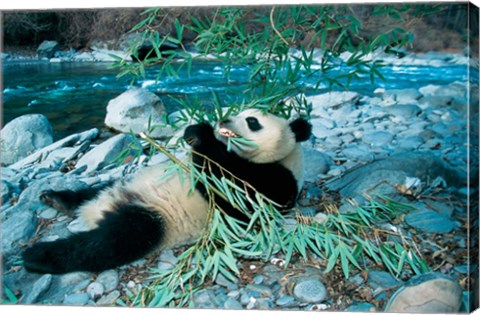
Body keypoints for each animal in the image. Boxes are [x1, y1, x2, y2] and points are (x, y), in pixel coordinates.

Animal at [22, 108, 312, 274]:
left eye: (252, 121)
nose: (223, 119)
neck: (284, 157)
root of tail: (99, 211)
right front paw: (194, 132)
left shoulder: (275, 183)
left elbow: (230, 187)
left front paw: (201, 135)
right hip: (122, 184)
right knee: (92, 191)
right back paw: (57, 199)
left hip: (154, 219)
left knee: (107, 243)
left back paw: (39, 256)